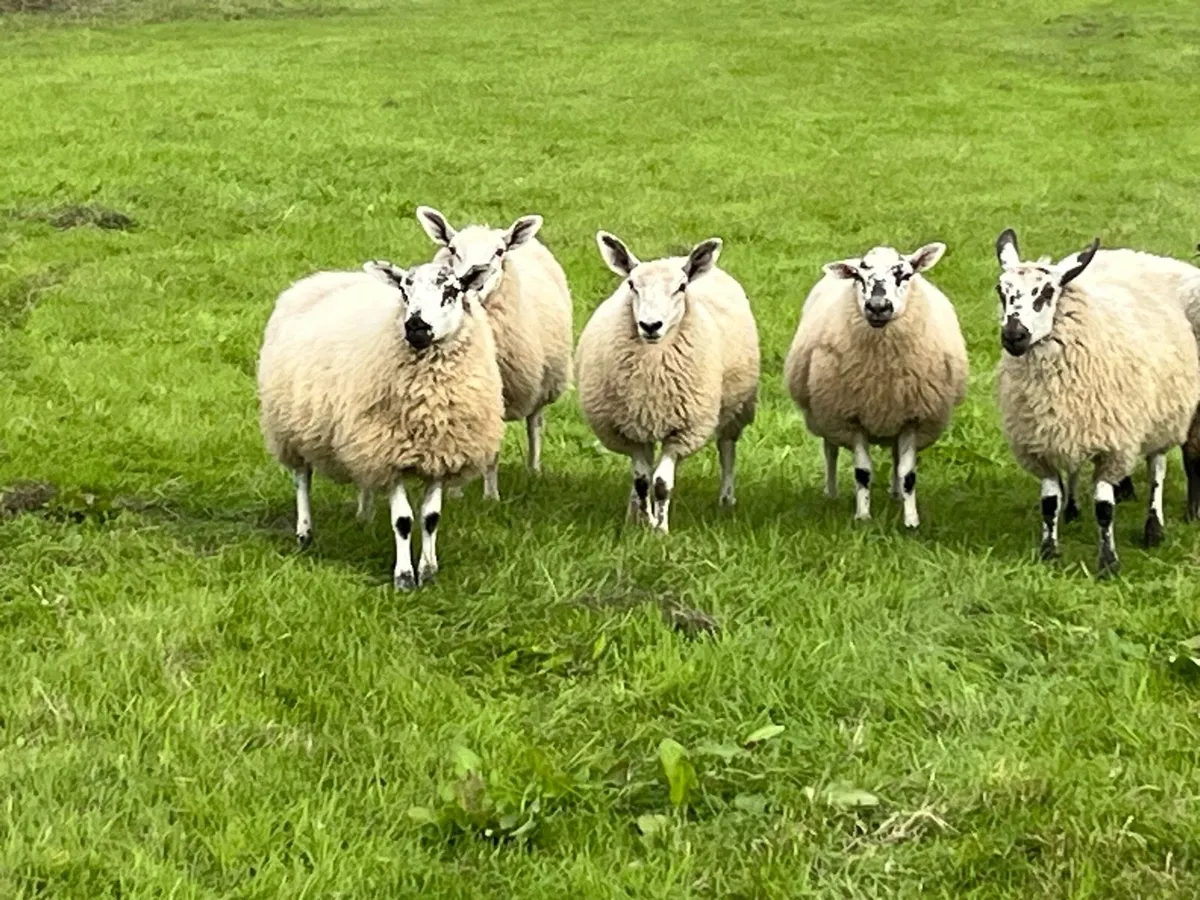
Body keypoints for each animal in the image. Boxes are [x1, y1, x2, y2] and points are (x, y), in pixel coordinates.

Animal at [257, 259, 504, 589]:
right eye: (404, 290)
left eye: (452, 290)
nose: (415, 326)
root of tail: (323, 278)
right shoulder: (390, 453)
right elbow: (403, 521)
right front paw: (404, 577)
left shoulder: (439, 455)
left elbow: (430, 518)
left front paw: (429, 570)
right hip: (290, 428)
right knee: (302, 479)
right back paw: (305, 532)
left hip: (358, 437)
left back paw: (364, 516)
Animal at [415, 206, 573, 500]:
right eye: (453, 249)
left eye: (499, 252)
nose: (473, 282)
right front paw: (454, 493)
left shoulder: (503, 394)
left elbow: (494, 452)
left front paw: (491, 497)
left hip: (544, 382)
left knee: (535, 424)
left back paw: (534, 471)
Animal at [576, 232, 760, 532]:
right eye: (631, 285)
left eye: (681, 287)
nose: (651, 325)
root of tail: (676, 257)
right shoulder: (627, 430)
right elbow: (642, 481)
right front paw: (642, 522)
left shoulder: (684, 431)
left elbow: (662, 484)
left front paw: (660, 530)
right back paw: (633, 511)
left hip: (736, 408)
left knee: (726, 449)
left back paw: (726, 498)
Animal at [783, 243, 968, 529]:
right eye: (858, 277)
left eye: (905, 274)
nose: (878, 306)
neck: (884, 371)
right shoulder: (851, 417)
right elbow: (863, 472)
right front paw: (863, 517)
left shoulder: (912, 418)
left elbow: (908, 474)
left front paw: (911, 520)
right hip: (826, 415)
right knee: (830, 451)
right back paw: (831, 493)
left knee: (895, 458)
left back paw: (896, 495)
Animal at [993, 229, 1200, 576]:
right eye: (1001, 291)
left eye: (1047, 292)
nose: (1013, 336)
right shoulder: (1040, 442)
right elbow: (1049, 500)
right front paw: (1049, 551)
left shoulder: (1114, 444)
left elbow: (1104, 508)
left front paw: (1108, 563)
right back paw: (1073, 508)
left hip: (1162, 416)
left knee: (1156, 469)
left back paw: (1153, 528)